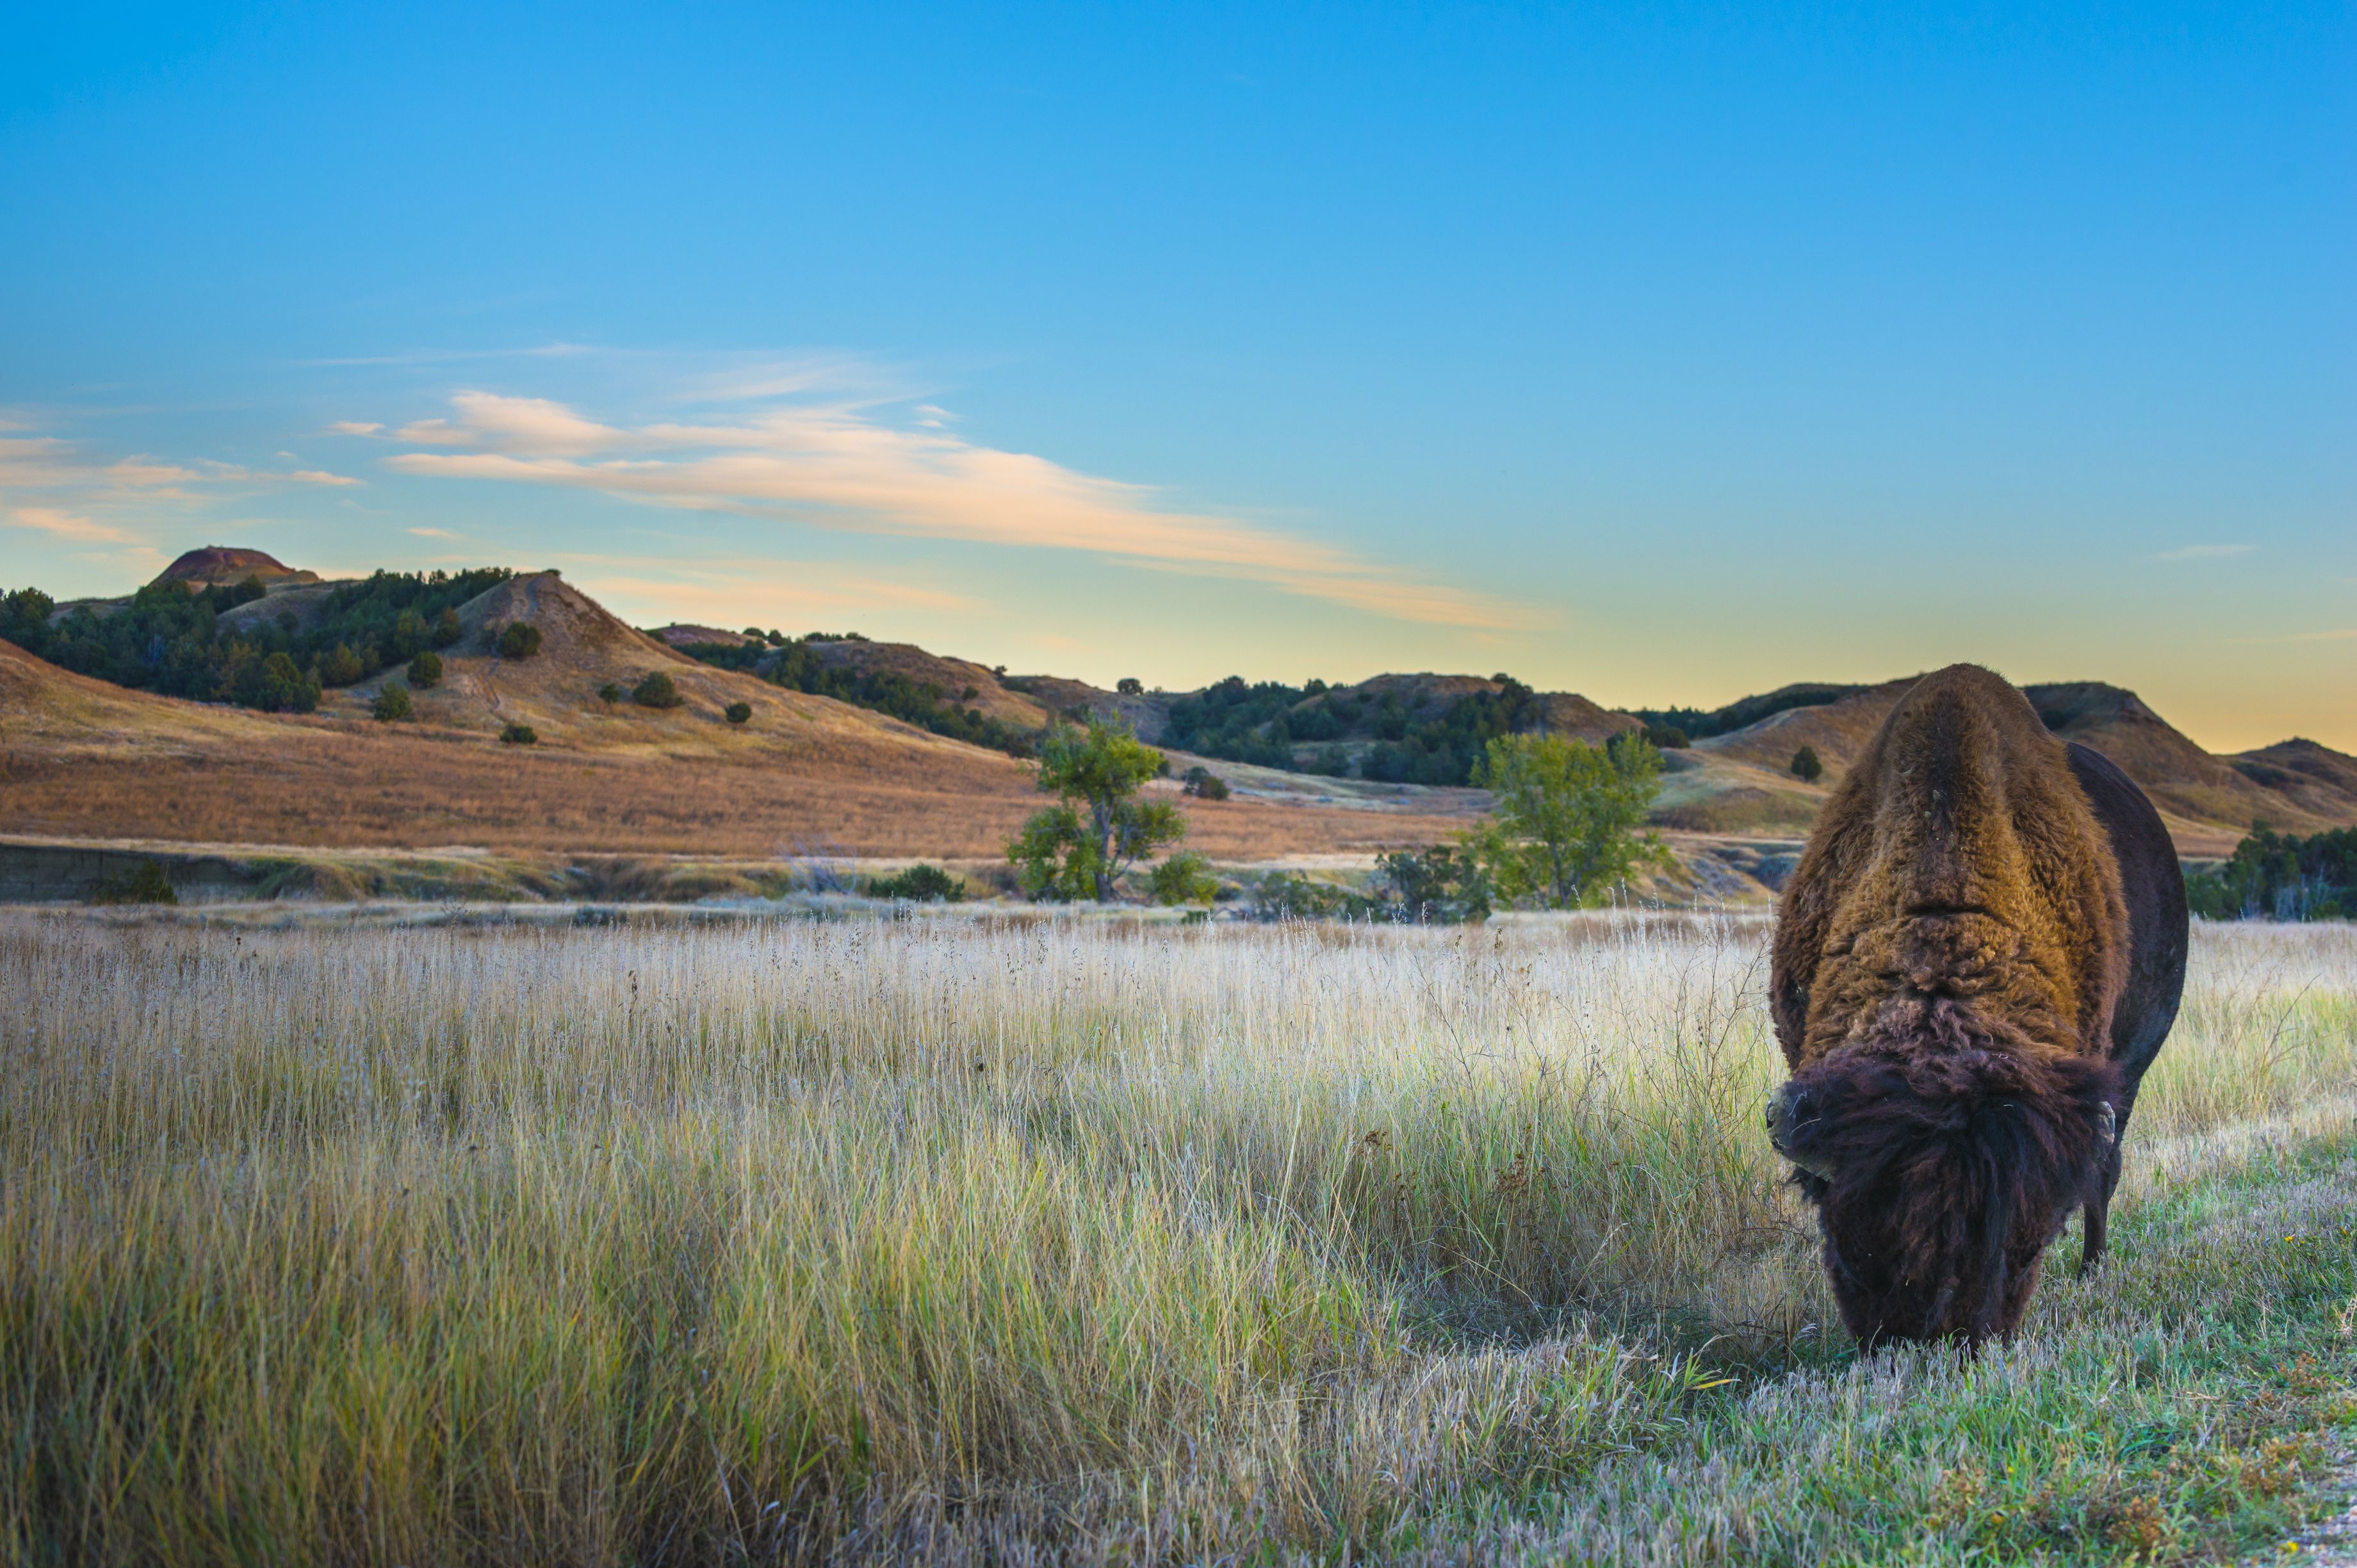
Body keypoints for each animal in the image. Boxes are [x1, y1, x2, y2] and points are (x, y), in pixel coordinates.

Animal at [1772, 660, 2187, 1348]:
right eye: (1848, 1249)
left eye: (2023, 1248)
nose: (1934, 1341)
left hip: (2131, 1073)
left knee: (2107, 1170)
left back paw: (2092, 1272)